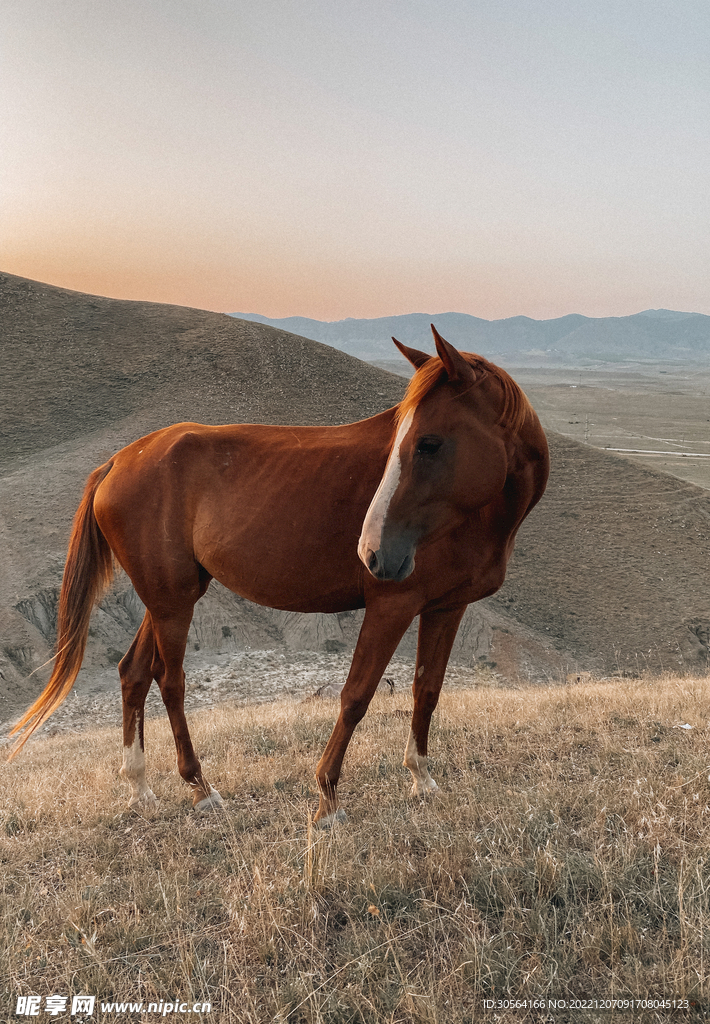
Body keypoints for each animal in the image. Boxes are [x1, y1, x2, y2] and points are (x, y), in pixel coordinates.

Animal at [10, 326, 549, 825]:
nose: (371, 552)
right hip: (172, 603)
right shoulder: (391, 604)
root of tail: (118, 460)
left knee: (134, 673)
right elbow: (356, 696)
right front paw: (327, 797)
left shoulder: (446, 607)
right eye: (403, 439)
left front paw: (421, 777)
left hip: (168, 597)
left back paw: (140, 787)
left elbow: (427, 691)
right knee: (170, 680)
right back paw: (201, 788)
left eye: (429, 443)